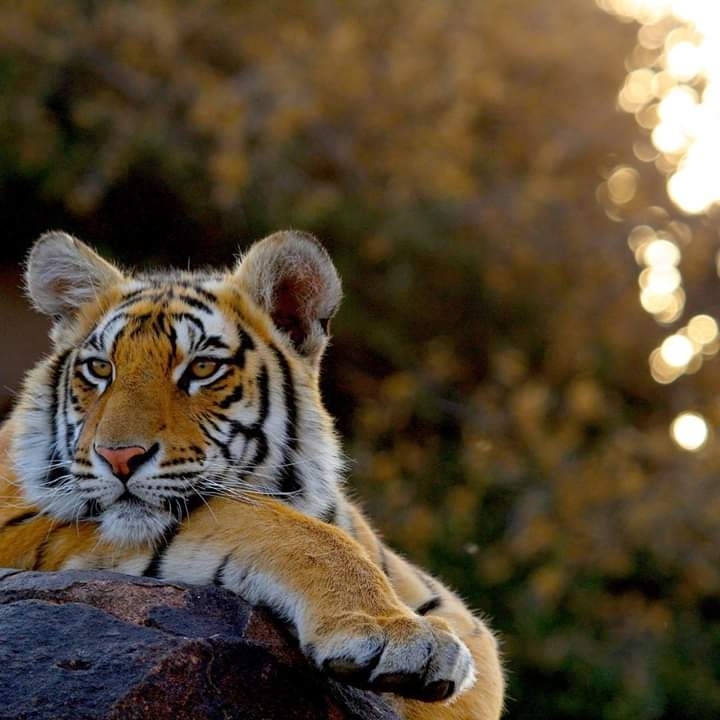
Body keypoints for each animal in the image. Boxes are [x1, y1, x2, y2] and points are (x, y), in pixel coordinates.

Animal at [0, 230, 504, 720]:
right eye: (100, 368)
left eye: (202, 367)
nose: (118, 456)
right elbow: (273, 525)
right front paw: (395, 634)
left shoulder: (468, 626)